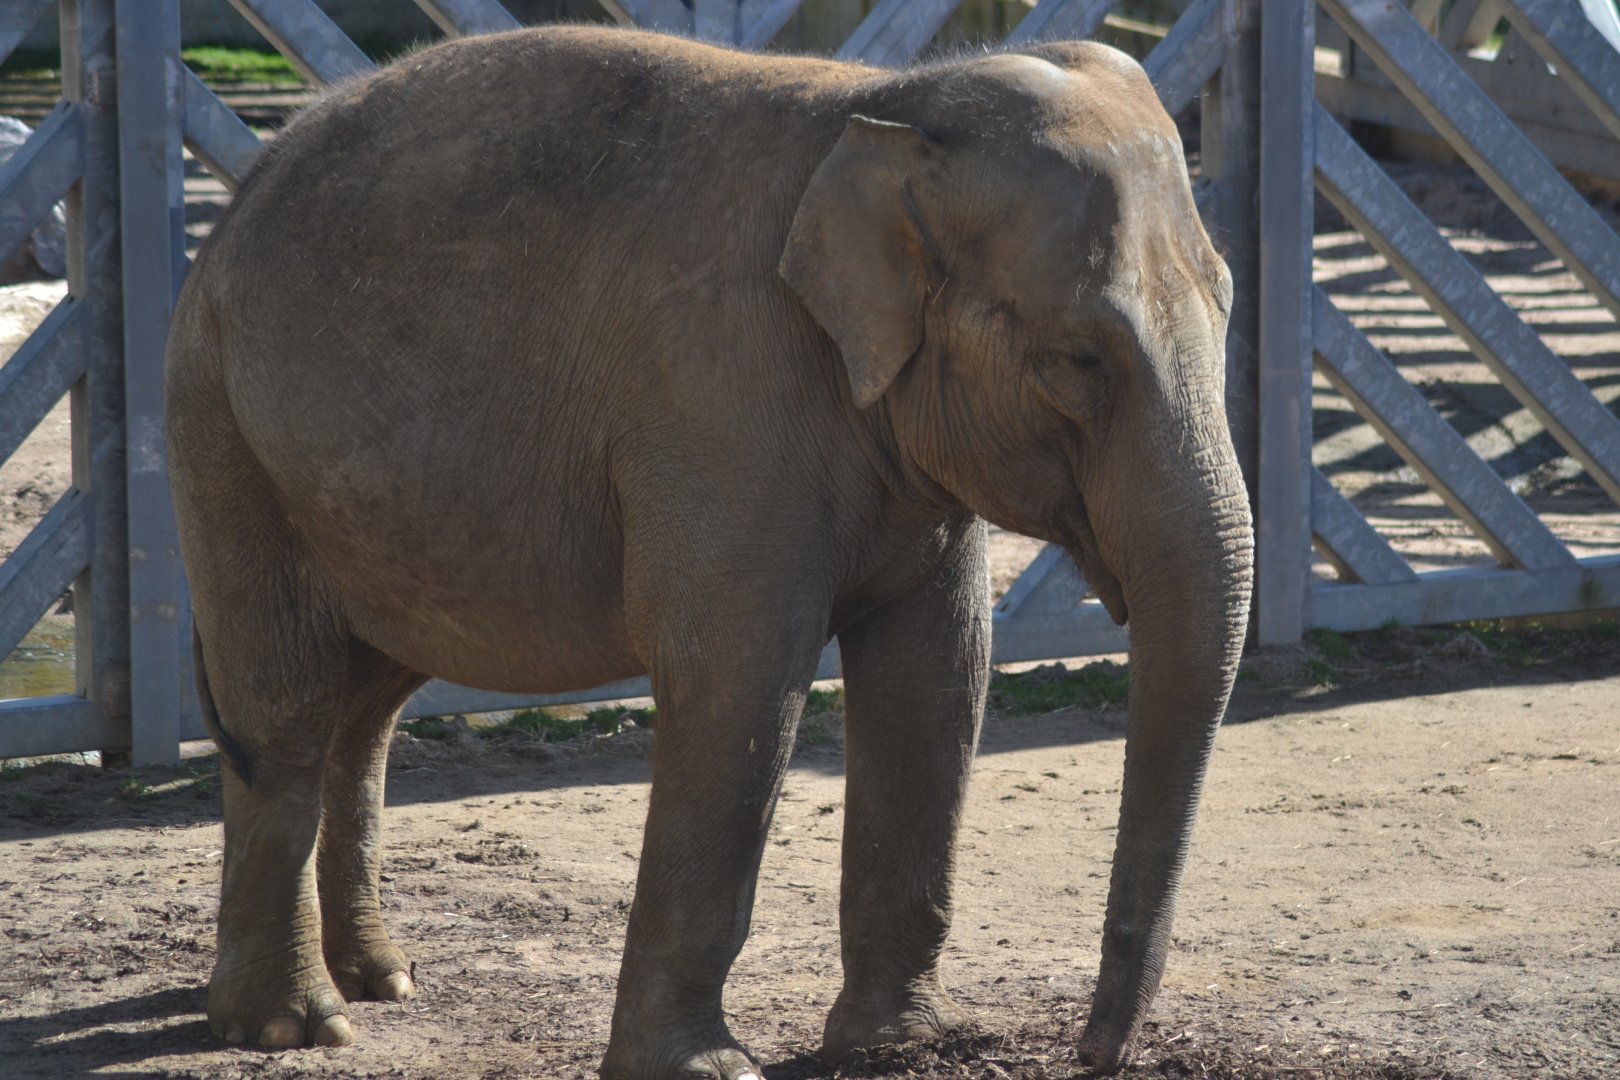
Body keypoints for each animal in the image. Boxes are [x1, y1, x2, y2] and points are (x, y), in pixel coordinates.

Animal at [165, 25, 1252, 1080]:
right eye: (1078, 360)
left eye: (1231, 303)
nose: (1092, 1053)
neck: (884, 109)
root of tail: (243, 192)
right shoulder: (718, 397)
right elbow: (739, 680)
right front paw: (706, 1068)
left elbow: (939, 677)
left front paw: (902, 1045)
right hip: (225, 438)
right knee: (286, 707)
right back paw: (292, 1028)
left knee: (366, 708)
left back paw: (380, 980)